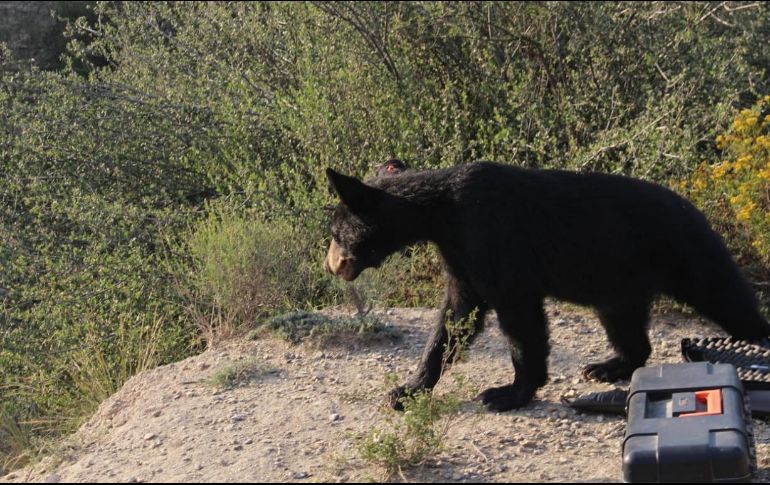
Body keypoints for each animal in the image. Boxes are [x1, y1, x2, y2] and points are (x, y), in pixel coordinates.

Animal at [324, 162, 770, 412]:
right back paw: (607, 366)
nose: (332, 265)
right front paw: (406, 390)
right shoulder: (460, 256)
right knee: (626, 324)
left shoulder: (494, 241)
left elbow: (519, 317)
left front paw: (507, 392)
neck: (441, 214)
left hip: (687, 252)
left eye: (335, 232)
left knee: (727, 297)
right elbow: (455, 317)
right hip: (617, 281)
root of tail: (698, 209)